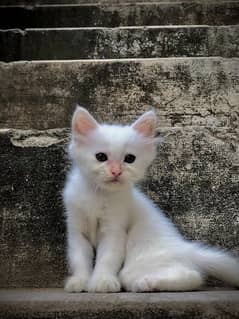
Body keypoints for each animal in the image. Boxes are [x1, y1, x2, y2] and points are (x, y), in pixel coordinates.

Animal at [63, 107, 239, 292]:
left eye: (130, 159)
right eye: (101, 157)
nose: (116, 172)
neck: (97, 194)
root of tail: (187, 249)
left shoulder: (114, 231)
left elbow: (107, 258)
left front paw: (102, 281)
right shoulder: (76, 230)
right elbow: (79, 259)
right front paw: (79, 281)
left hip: (138, 259)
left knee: (192, 276)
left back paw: (148, 283)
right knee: (192, 276)